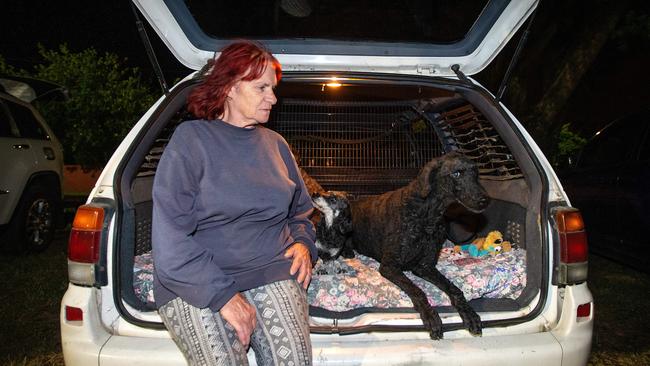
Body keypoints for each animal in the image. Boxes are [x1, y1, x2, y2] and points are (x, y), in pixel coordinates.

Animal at [350, 152, 486, 340]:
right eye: (457, 173)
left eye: (476, 173)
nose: (485, 200)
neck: (427, 214)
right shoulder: (389, 266)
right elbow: (418, 291)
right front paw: (430, 315)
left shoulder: (425, 266)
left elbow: (455, 289)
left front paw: (469, 313)